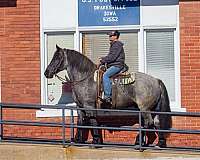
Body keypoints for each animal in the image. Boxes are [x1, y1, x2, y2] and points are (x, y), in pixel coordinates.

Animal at [44, 45, 172, 148]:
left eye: (57, 57)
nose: (46, 73)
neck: (85, 78)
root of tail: (156, 80)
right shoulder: (80, 107)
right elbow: (80, 122)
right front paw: (78, 140)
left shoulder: (89, 106)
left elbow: (92, 122)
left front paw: (96, 141)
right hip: (153, 108)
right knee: (157, 122)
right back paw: (160, 143)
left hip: (144, 108)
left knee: (148, 123)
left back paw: (138, 142)